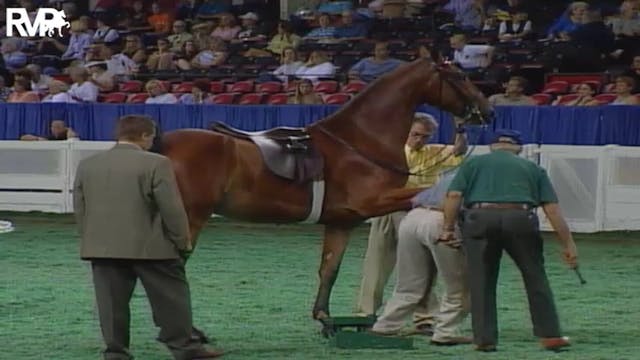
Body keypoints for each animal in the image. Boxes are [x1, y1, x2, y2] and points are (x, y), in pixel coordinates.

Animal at [158, 57, 492, 336]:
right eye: (460, 76)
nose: (487, 111)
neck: (359, 142)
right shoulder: (375, 201)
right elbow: (422, 192)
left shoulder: (342, 222)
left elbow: (329, 269)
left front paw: (324, 318)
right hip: (190, 219)